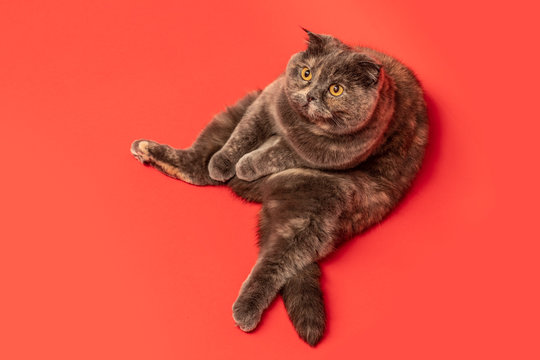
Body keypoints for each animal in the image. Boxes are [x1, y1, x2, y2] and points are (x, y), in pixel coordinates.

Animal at [130, 30, 426, 346]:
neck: (300, 125)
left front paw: (248, 164)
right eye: (307, 73)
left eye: (336, 89)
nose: (310, 95)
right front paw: (225, 162)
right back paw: (156, 151)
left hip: (312, 209)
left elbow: (281, 152)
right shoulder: (267, 99)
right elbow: (244, 134)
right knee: (198, 165)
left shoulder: (328, 154)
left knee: (275, 263)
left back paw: (246, 310)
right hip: (237, 109)